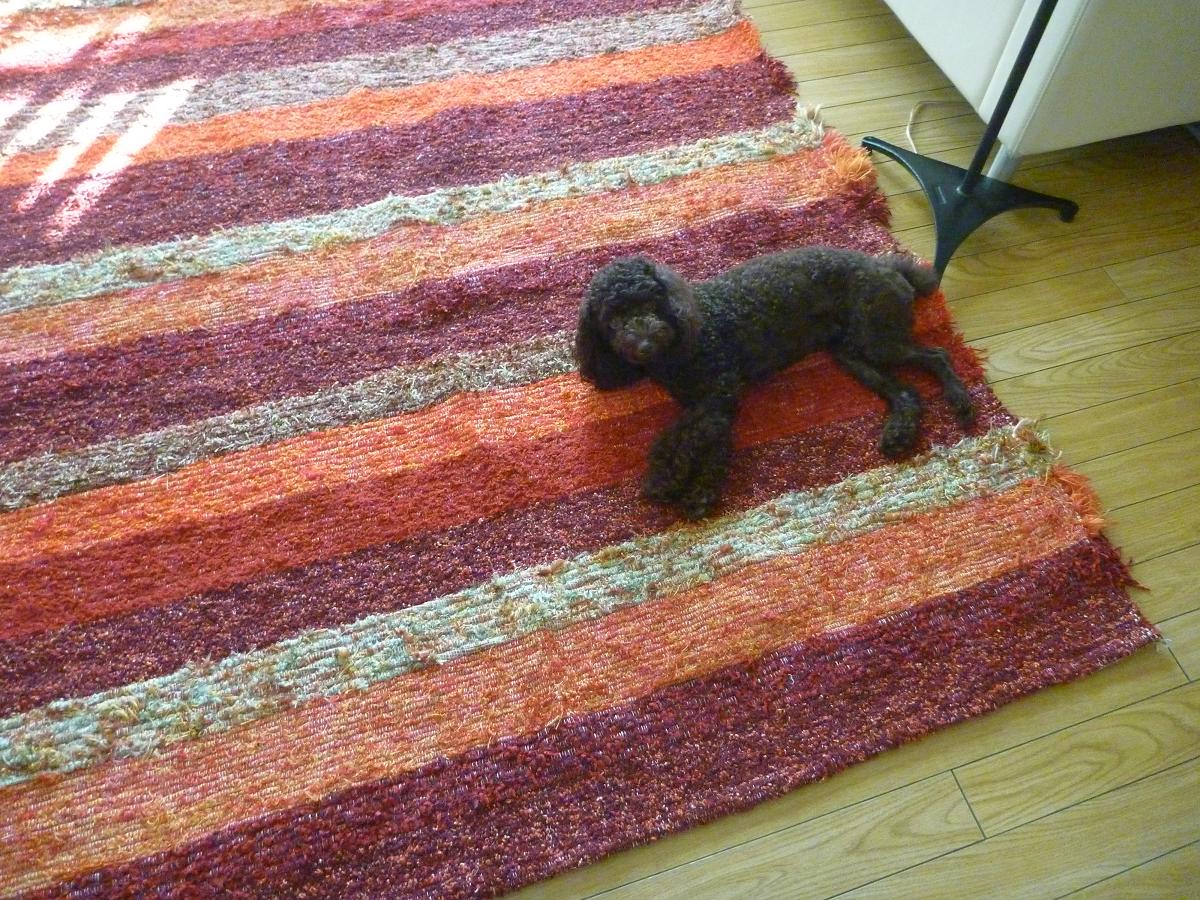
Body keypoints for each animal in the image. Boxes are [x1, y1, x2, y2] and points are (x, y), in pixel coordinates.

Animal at [574, 246, 976, 519]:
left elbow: (683, 436)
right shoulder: (715, 405)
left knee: (937, 355)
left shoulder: (719, 393)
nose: (643, 343)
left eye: (651, 304)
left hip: (876, 340)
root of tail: (886, 266)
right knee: (906, 393)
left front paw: (667, 479)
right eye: (613, 320)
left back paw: (960, 400)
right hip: (853, 355)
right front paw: (700, 492)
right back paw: (899, 434)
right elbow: (711, 442)